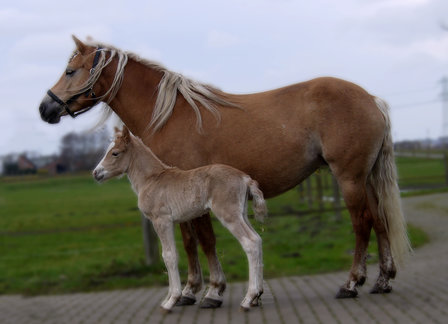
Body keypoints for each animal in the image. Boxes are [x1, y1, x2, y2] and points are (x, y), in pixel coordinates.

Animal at [91, 126, 266, 312]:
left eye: (115, 153)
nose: (96, 173)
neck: (152, 179)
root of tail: (245, 178)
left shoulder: (162, 220)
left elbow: (169, 255)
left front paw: (172, 300)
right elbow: (170, 254)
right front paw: (169, 298)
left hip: (228, 214)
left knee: (250, 242)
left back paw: (248, 298)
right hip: (241, 213)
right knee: (257, 239)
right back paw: (256, 296)